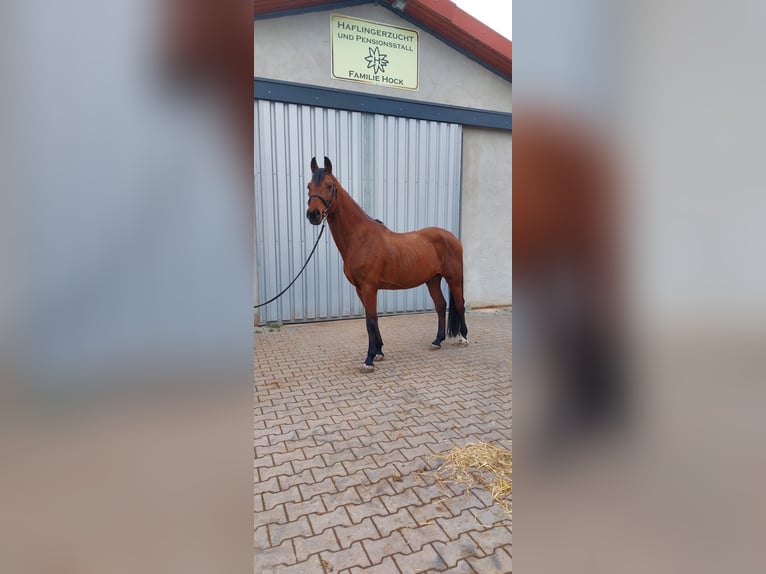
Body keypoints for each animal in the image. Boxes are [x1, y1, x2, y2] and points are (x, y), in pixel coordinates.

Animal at [306, 156, 468, 374]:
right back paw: (437, 341)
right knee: (441, 306)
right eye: (309, 186)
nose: (313, 215)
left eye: (329, 186)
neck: (361, 238)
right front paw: (379, 352)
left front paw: (369, 359)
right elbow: (373, 320)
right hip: (432, 280)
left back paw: (463, 338)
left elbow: (370, 322)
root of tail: (452, 237)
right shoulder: (360, 289)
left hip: (454, 278)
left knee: (459, 304)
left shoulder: (369, 288)